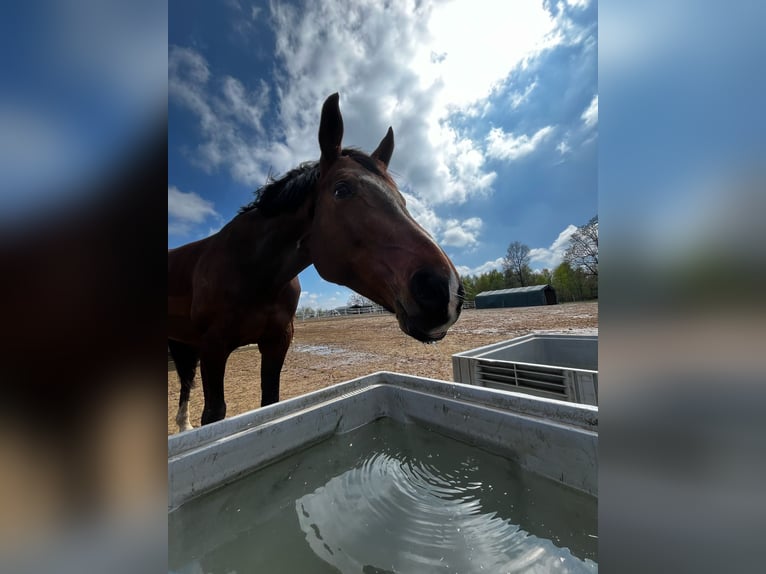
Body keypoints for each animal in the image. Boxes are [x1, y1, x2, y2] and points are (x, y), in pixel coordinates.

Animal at [168, 92, 464, 432]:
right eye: (342, 190)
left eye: (402, 201)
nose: (445, 290)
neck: (253, 273)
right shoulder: (213, 347)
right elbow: (214, 415)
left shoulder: (277, 342)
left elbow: (270, 402)